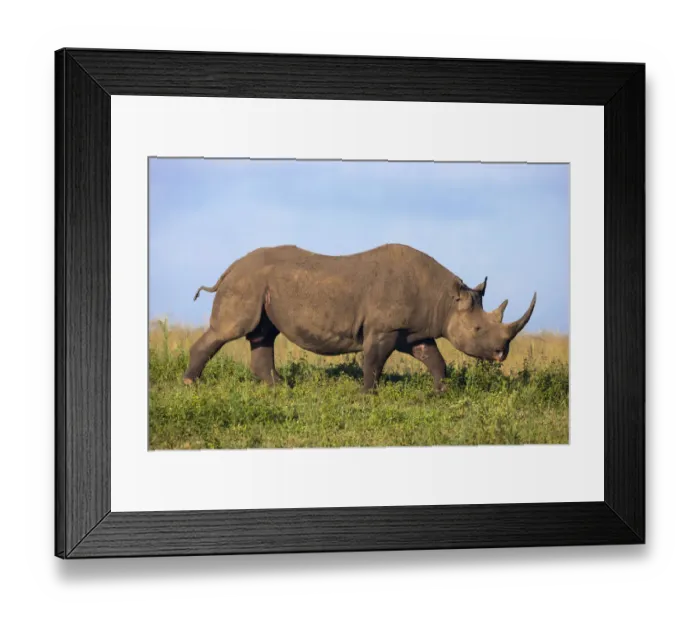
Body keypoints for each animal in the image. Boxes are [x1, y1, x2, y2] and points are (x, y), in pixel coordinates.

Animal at [184, 243, 536, 392]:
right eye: (477, 329)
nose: (502, 354)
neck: (444, 299)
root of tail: (230, 267)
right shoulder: (383, 328)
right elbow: (374, 361)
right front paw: (368, 394)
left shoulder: (414, 330)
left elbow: (435, 359)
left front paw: (442, 392)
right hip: (247, 282)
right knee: (229, 330)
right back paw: (191, 385)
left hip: (260, 285)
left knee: (263, 334)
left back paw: (281, 389)